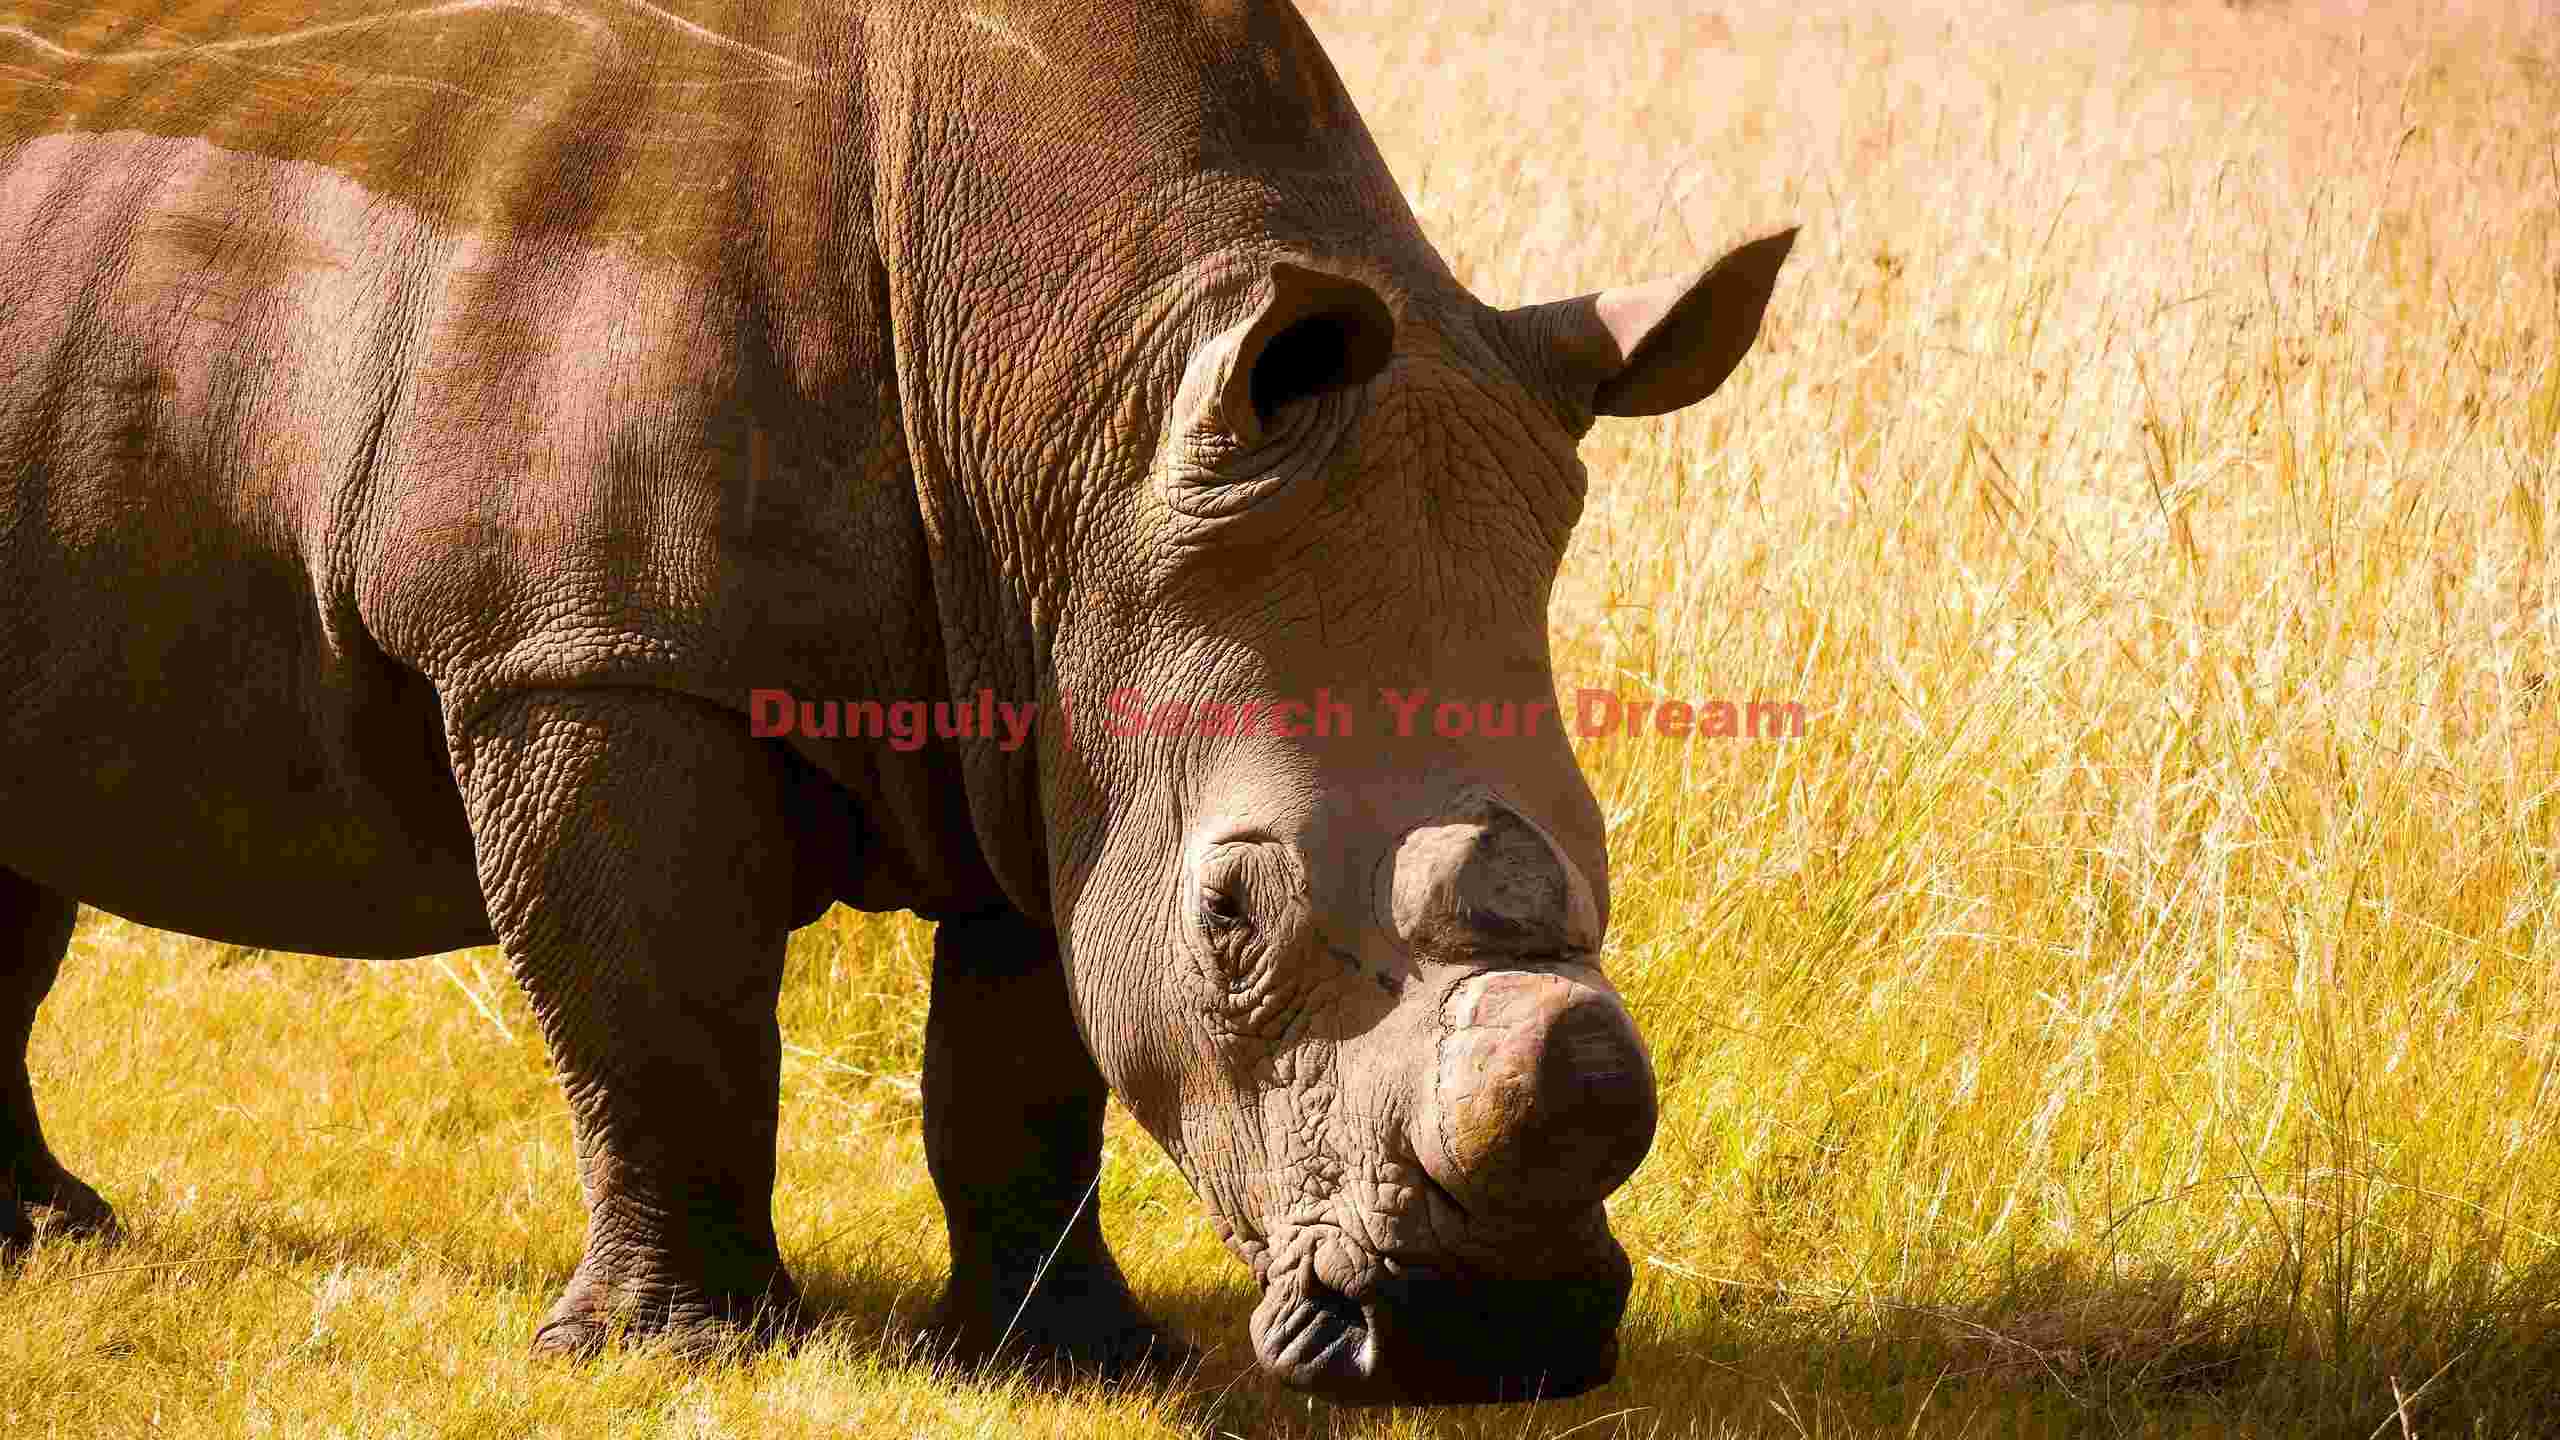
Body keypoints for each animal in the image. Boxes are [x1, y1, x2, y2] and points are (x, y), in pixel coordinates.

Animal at [0, 0, 1792, 1406]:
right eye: (1233, 918)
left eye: (1603, 849)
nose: (1497, 1342)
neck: (1081, 396)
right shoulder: (580, 654)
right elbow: (664, 1018)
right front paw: (678, 1356)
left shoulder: (1062, 684)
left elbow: (1028, 1066)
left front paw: (1072, 1364)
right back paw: (64, 1238)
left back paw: (52, 1235)